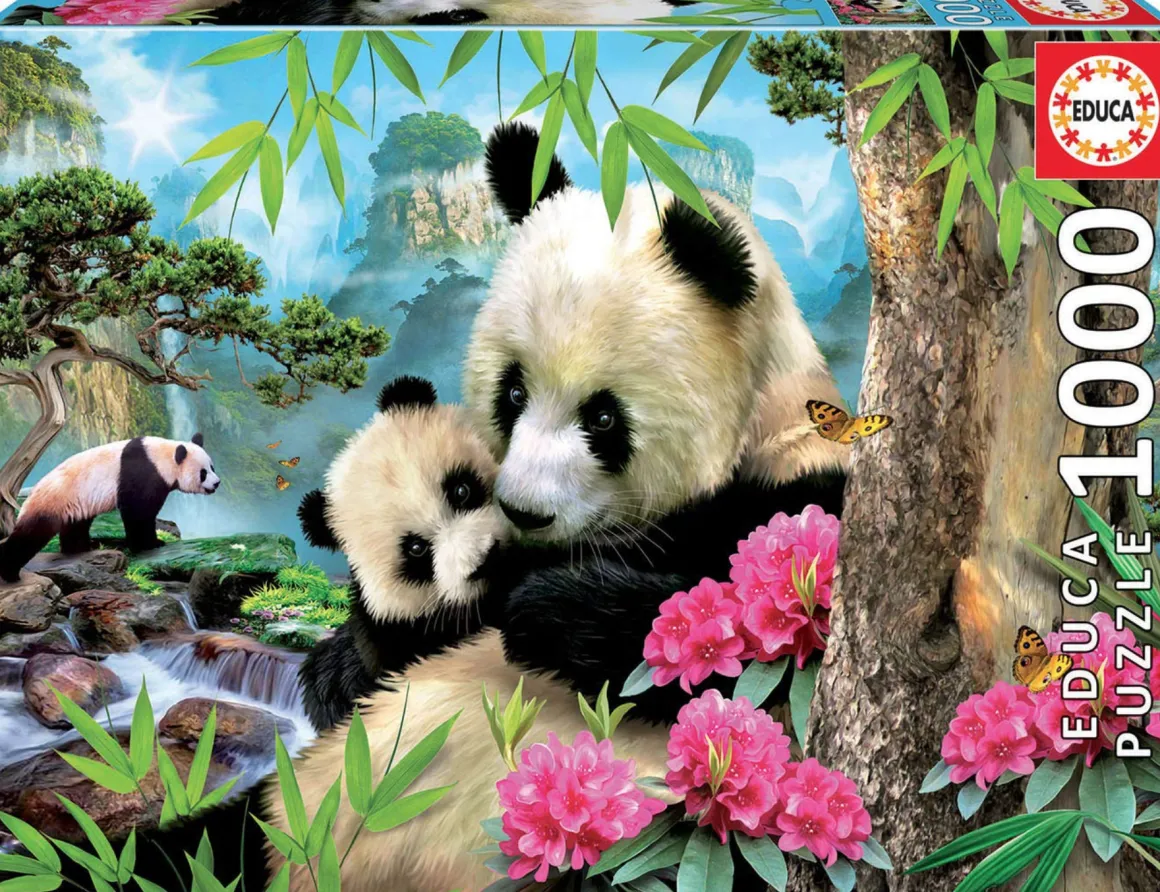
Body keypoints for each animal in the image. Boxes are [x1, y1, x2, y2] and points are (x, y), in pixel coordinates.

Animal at [0, 435, 219, 584]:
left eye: (212, 467)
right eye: (203, 473)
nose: (217, 483)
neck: (162, 456)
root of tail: (32, 492)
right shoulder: (142, 473)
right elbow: (138, 511)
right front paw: (151, 544)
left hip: (76, 503)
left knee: (76, 526)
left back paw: (82, 548)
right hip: (54, 500)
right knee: (31, 534)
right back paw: (10, 572)